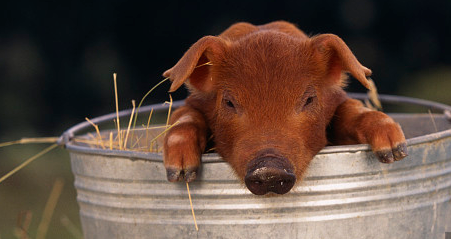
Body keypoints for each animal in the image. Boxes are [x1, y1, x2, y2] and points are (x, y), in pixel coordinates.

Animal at [162, 21, 406, 196]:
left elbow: (352, 109)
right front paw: (180, 173)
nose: (269, 169)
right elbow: (183, 116)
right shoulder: (191, 104)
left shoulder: (339, 101)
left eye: (309, 99)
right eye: (229, 102)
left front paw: (395, 151)